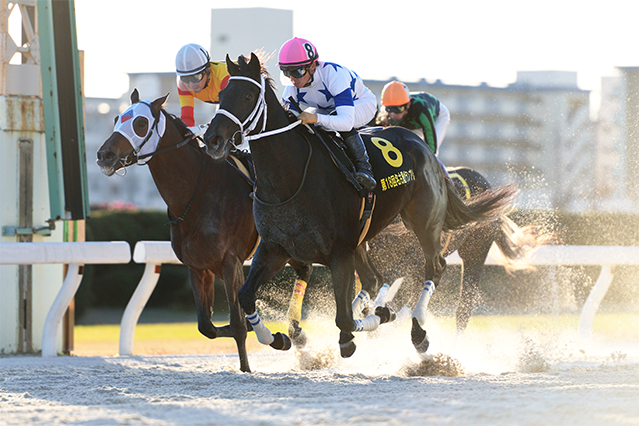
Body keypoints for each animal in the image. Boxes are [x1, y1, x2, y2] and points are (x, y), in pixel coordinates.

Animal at [95, 90, 312, 372]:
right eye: (115, 119)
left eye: (140, 123)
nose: (104, 155)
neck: (197, 194)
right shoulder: (198, 267)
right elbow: (207, 326)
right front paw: (266, 332)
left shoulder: (230, 262)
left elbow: (238, 324)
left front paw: (249, 362)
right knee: (304, 269)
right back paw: (295, 333)